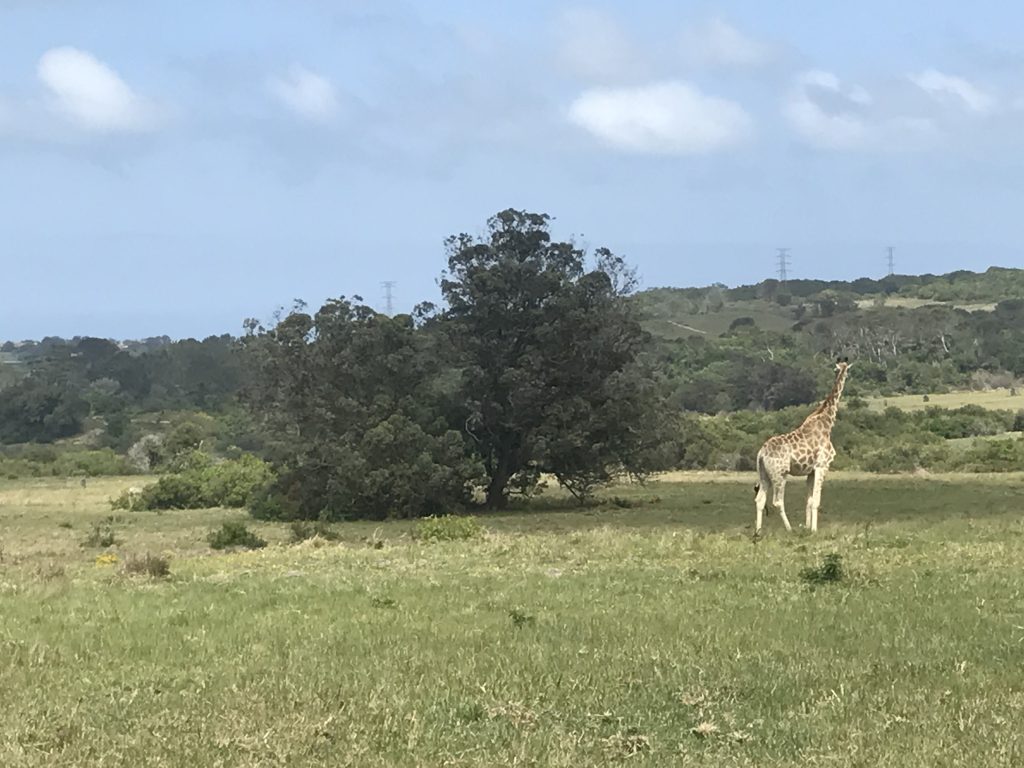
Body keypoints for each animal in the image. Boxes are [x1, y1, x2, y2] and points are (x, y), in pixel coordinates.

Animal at [753, 360, 847, 536]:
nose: (840, 372)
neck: (827, 423)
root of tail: (761, 453)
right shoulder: (822, 466)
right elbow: (816, 500)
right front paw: (815, 530)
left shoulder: (810, 471)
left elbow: (808, 500)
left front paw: (808, 527)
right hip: (780, 474)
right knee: (777, 501)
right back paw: (789, 529)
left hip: (764, 474)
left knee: (760, 500)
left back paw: (758, 531)